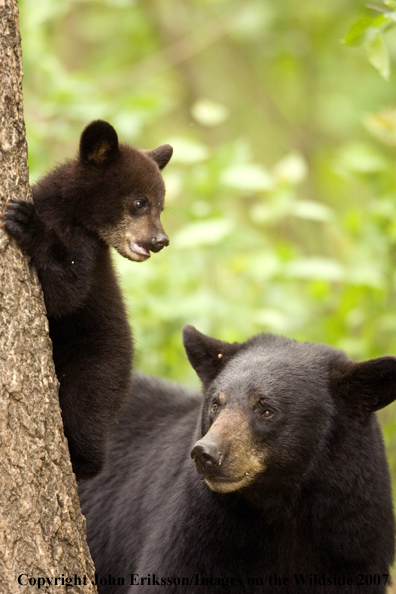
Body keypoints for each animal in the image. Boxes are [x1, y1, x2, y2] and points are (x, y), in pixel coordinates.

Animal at [1, 119, 172, 476]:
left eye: (161, 206)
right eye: (140, 202)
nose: (160, 240)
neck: (67, 211)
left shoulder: (87, 249)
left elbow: (65, 293)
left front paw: (27, 224)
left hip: (98, 367)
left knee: (87, 420)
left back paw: (81, 463)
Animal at [78, 326, 396, 588]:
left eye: (266, 409)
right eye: (216, 404)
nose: (205, 453)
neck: (283, 510)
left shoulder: (351, 545)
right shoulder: (195, 538)